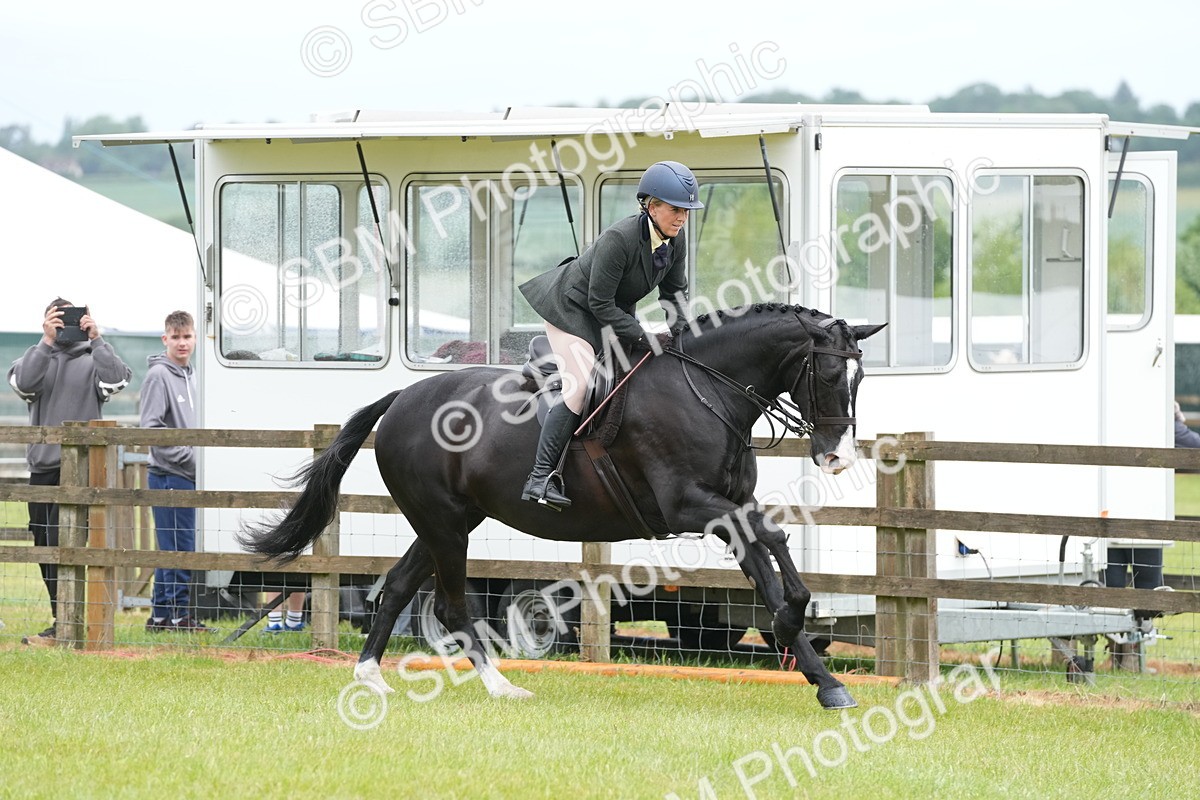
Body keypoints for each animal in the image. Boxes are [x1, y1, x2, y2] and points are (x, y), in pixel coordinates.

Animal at [240, 303, 884, 710]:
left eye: (860, 378)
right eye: (829, 371)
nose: (835, 457)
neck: (708, 389)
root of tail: (402, 396)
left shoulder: (729, 506)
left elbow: (769, 572)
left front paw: (823, 679)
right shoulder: (689, 507)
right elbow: (773, 543)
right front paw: (796, 621)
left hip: (449, 521)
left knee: (399, 587)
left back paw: (370, 677)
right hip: (446, 526)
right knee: (450, 606)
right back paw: (500, 688)